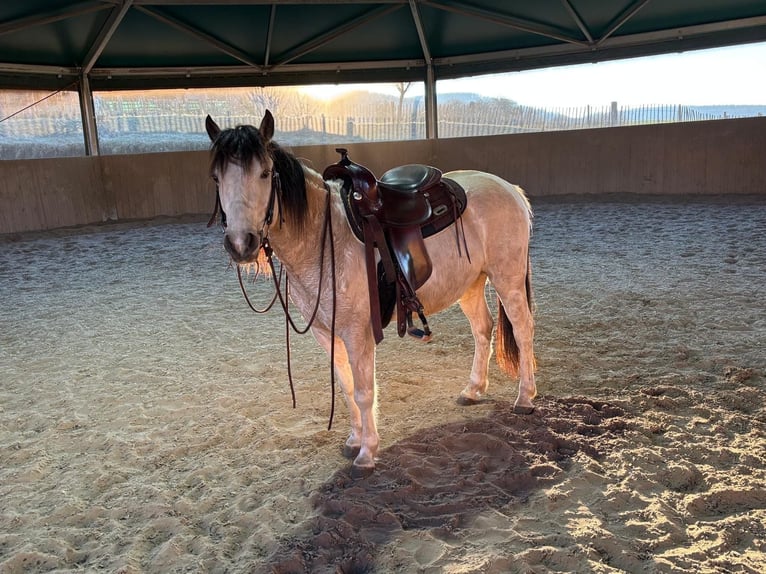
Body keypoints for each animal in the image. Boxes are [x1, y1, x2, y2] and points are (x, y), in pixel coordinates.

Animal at [205, 110, 537, 477]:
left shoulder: (357, 333)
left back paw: (525, 398)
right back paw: (473, 390)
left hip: (507, 278)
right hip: (470, 284)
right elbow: (347, 387)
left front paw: (367, 453)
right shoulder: (326, 333)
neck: (325, 238)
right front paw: (354, 441)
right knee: (483, 329)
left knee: (523, 330)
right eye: (217, 178)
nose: (241, 244)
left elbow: (364, 391)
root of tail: (509, 188)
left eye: (264, 173)